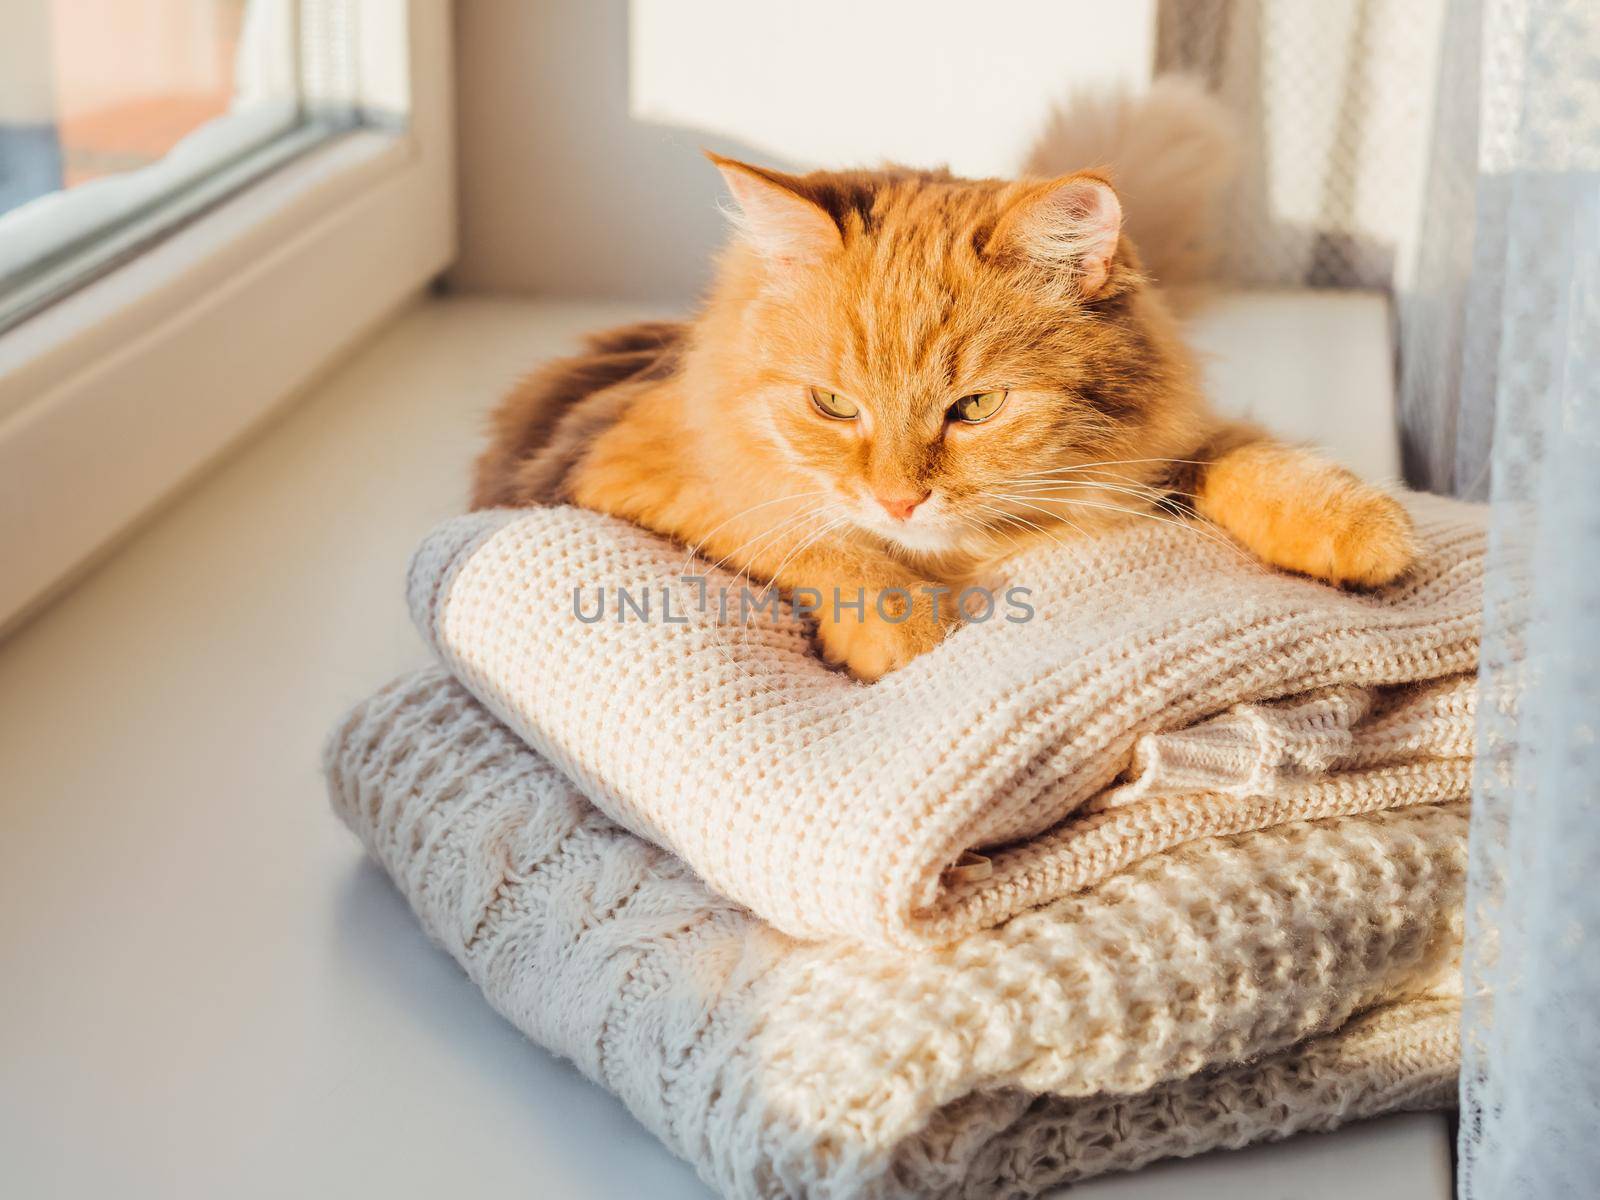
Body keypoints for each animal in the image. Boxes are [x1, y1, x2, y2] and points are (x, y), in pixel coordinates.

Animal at [470, 82, 1414, 684]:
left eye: (977, 408)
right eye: (832, 405)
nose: (899, 501)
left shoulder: (1168, 443)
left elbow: (1255, 459)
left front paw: (1357, 529)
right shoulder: (640, 470)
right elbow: (814, 535)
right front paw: (906, 634)